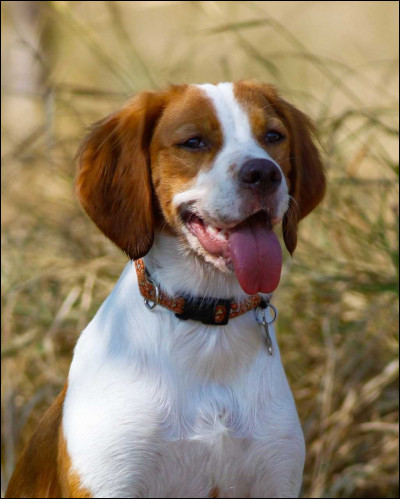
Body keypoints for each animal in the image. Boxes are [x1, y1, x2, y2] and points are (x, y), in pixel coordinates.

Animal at [6, 80, 324, 498]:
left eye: (273, 136)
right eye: (193, 141)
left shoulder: (275, 480)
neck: (206, 329)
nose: (264, 173)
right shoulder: (110, 482)